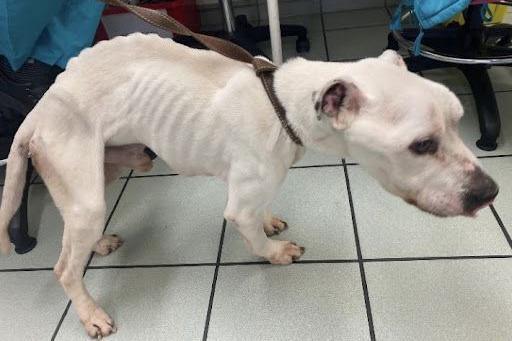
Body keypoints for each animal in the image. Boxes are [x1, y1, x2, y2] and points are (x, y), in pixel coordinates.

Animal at [0, 33, 496, 336]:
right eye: (422, 144)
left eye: (458, 119)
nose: (490, 193)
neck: (284, 104)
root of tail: (36, 111)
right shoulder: (239, 205)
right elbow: (251, 232)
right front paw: (275, 252)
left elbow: (261, 215)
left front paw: (271, 221)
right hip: (86, 194)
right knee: (65, 268)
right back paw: (91, 315)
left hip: (100, 174)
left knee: (74, 231)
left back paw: (99, 244)